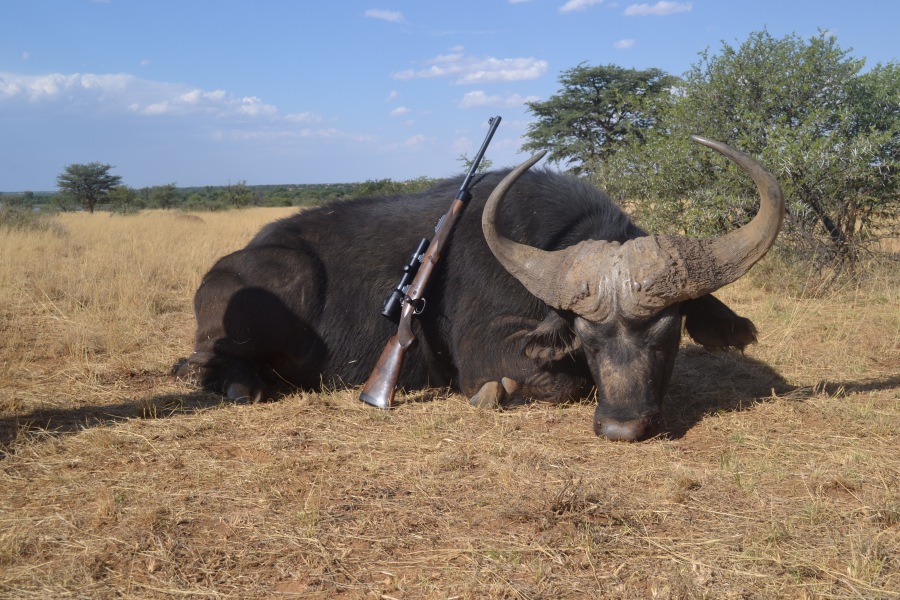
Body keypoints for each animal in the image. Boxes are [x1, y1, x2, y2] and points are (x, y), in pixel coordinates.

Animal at [175, 136, 784, 441]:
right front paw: (499, 393)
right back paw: (239, 386)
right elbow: (553, 381)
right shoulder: (489, 350)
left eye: (669, 328)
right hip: (285, 283)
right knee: (201, 362)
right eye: (586, 334)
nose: (622, 426)